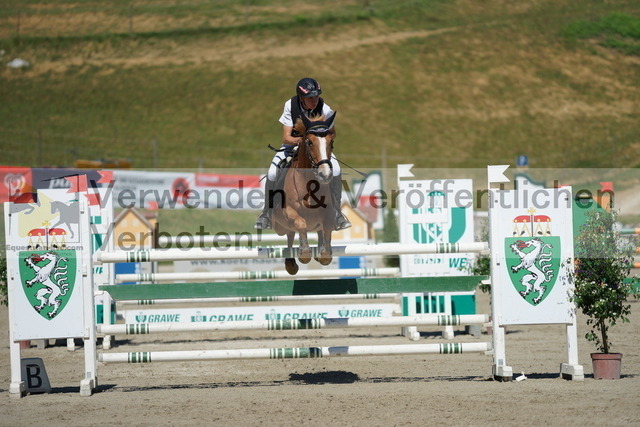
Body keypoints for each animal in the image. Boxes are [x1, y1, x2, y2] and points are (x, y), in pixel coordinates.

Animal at [272, 112, 338, 276]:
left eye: (331, 142)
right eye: (310, 142)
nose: (325, 174)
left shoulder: (329, 212)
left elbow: (327, 225)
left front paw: (324, 254)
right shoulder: (290, 211)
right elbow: (300, 224)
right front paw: (304, 254)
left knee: (317, 230)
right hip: (279, 226)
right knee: (289, 233)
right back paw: (291, 263)